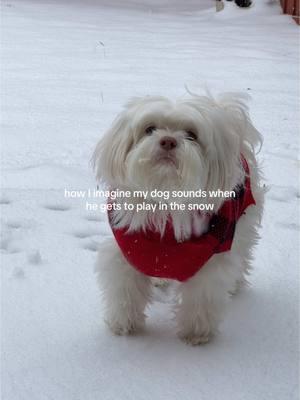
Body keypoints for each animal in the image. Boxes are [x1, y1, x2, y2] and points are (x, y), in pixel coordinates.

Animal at [92, 92, 264, 346]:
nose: (168, 141)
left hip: (242, 226)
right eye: (150, 129)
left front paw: (196, 333)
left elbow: (201, 299)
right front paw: (124, 325)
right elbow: (126, 291)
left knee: (241, 254)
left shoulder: (208, 261)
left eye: (191, 134)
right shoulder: (127, 250)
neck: (167, 199)